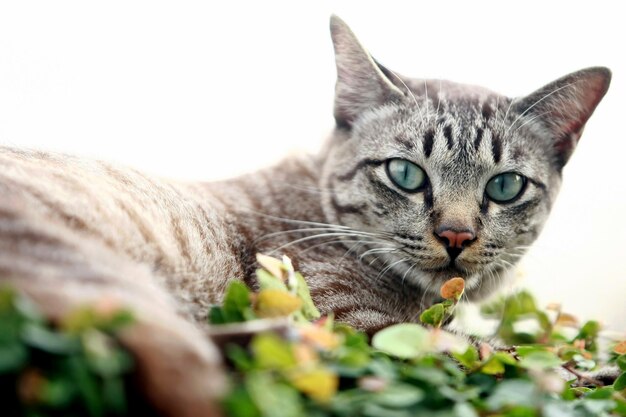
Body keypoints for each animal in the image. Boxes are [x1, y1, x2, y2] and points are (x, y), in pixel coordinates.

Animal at [0, 14, 608, 414]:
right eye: (405, 174)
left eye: (505, 186)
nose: (455, 235)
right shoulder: (360, 325)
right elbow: (497, 354)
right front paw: (578, 371)